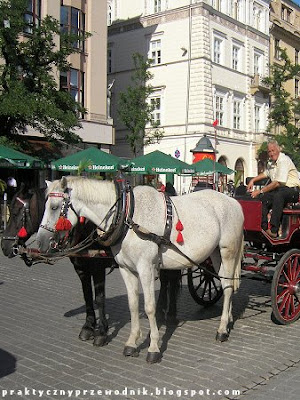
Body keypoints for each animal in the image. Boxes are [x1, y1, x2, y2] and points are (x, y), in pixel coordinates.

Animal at [36, 177, 245, 364]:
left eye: (54, 207)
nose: (40, 242)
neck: (127, 216)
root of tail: (233, 201)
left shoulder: (145, 268)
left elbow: (149, 307)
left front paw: (153, 348)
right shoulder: (126, 269)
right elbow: (133, 305)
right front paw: (131, 343)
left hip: (227, 251)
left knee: (227, 287)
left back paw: (222, 329)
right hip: (215, 253)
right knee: (225, 284)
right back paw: (228, 320)